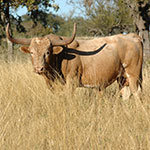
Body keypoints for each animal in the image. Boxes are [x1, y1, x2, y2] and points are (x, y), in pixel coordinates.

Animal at [6, 23, 143, 99]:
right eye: (32, 52)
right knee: (125, 94)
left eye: (47, 52)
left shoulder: (71, 82)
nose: (39, 68)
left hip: (133, 74)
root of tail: (132, 36)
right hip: (122, 78)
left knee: (136, 93)